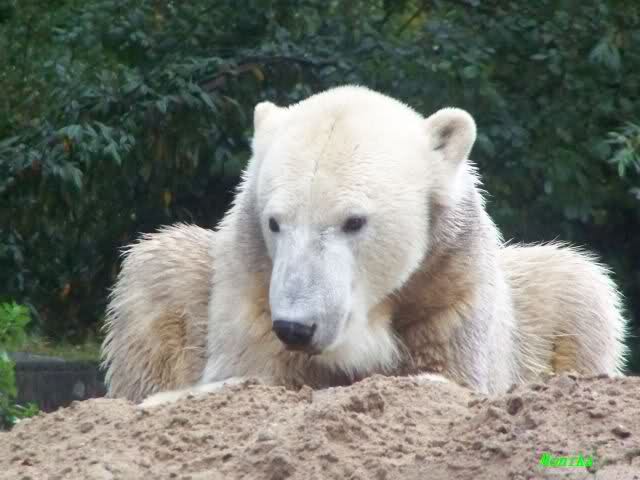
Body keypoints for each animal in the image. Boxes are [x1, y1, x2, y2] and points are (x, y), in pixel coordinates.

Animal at [101, 86, 627, 406]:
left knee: (579, 286)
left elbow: (454, 375)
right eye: (275, 222)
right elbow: (247, 371)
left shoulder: (451, 282)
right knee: (158, 275)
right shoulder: (249, 288)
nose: (296, 326)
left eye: (353, 221)